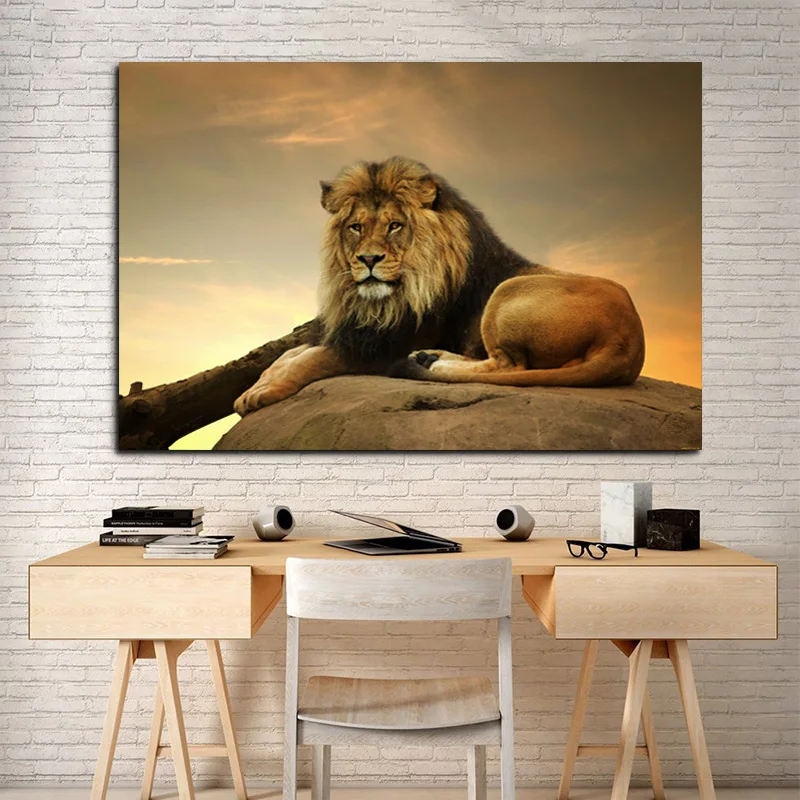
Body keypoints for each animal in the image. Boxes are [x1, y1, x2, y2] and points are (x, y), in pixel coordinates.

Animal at [234, 156, 645, 416]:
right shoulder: (358, 331)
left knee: (508, 365)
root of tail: (628, 342)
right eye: (356, 227)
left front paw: (264, 392)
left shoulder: (384, 344)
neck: (381, 301)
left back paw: (430, 362)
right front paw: (254, 387)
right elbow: (290, 354)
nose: (369, 260)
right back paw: (430, 359)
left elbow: (312, 359)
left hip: (507, 293)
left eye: (394, 226)